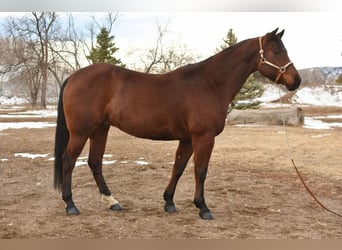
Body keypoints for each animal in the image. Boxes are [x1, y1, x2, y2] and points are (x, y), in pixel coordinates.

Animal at [54, 28, 302, 219]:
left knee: (95, 162)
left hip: (100, 129)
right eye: (276, 51)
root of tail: (74, 76)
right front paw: (203, 208)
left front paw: (169, 202)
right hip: (81, 132)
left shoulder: (187, 139)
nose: (296, 80)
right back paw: (71, 205)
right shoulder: (203, 137)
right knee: (68, 161)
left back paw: (112, 201)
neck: (210, 84)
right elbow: (200, 171)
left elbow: (179, 168)